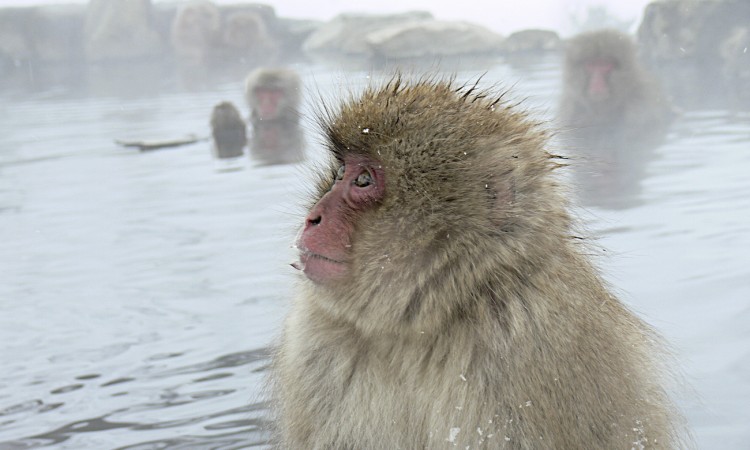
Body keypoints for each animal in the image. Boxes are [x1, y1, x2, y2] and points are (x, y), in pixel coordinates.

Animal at [274, 75, 692, 448]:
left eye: (362, 180)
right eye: (341, 172)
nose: (313, 218)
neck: (422, 325)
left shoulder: (533, 352)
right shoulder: (314, 341)